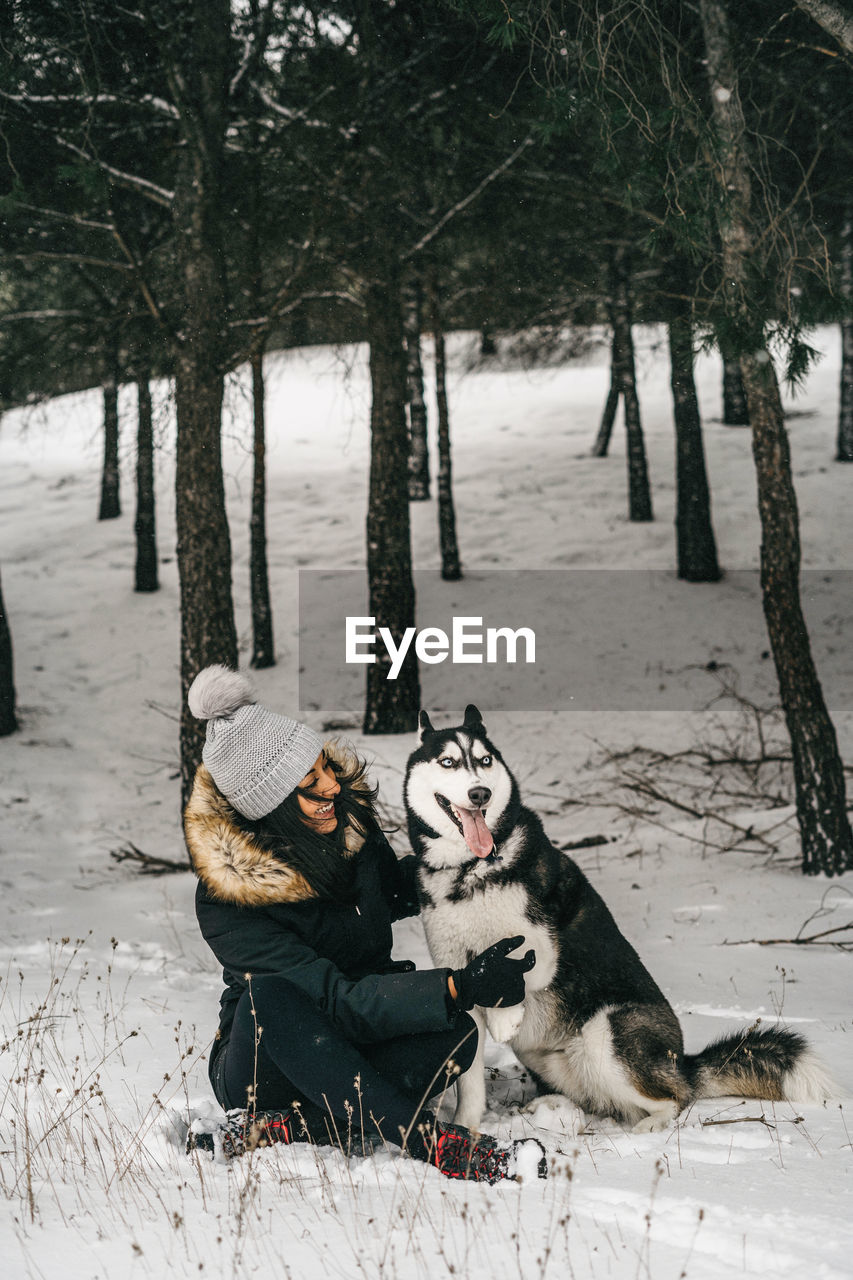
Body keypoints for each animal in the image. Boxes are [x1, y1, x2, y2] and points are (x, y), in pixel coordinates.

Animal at [404, 706, 829, 1136]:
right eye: (448, 762)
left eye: (485, 760)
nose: (480, 794)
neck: (468, 868)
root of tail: (684, 1063)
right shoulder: (459, 979)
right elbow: (471, 1080)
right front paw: (466, 1127)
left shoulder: (543, 948)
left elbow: (510, 963)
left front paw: (505, 1015)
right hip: (553, 1058)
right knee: (598, 1099)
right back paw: (551, 1108)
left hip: (605, 1033)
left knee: (674, 1099)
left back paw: (648, 1130)